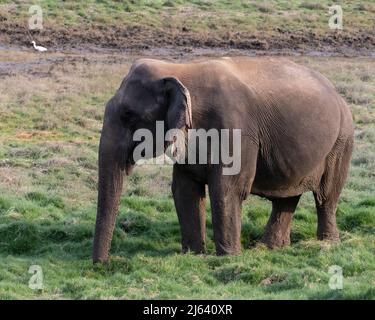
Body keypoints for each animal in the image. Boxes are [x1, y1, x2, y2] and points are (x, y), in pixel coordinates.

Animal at [92, 57, 354, 262]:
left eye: (128, 115)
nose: (104, 264)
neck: (180, 70)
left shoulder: (235, 131)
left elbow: (227, 188)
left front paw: (227, 258)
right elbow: (184, 189)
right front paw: (193, 255)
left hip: (341, 139)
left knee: (326, 196)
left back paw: (327, 244)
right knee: (287, 197)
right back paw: (269, 248)